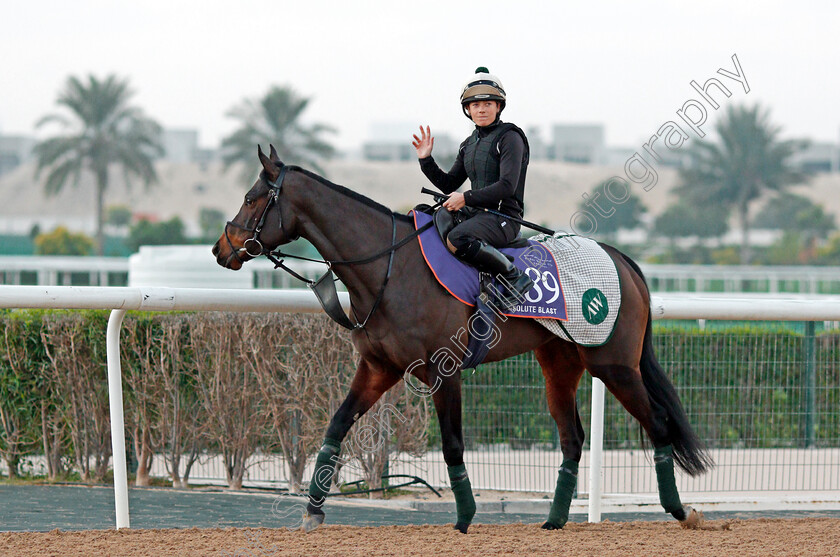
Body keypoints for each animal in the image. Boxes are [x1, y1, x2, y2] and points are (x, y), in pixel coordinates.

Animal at [212, 146, 708, 532]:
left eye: (251, 198)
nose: (221, 248)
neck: (391, 268)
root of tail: (621, 259)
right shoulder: (378, 367)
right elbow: (336, 427)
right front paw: (313, 510)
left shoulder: (442, 371)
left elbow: (452, 442)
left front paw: (466, 517)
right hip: (560, 364)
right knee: (572, 439)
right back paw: (554, 520)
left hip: (613, 364)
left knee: (658, 423)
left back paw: (680, 511)